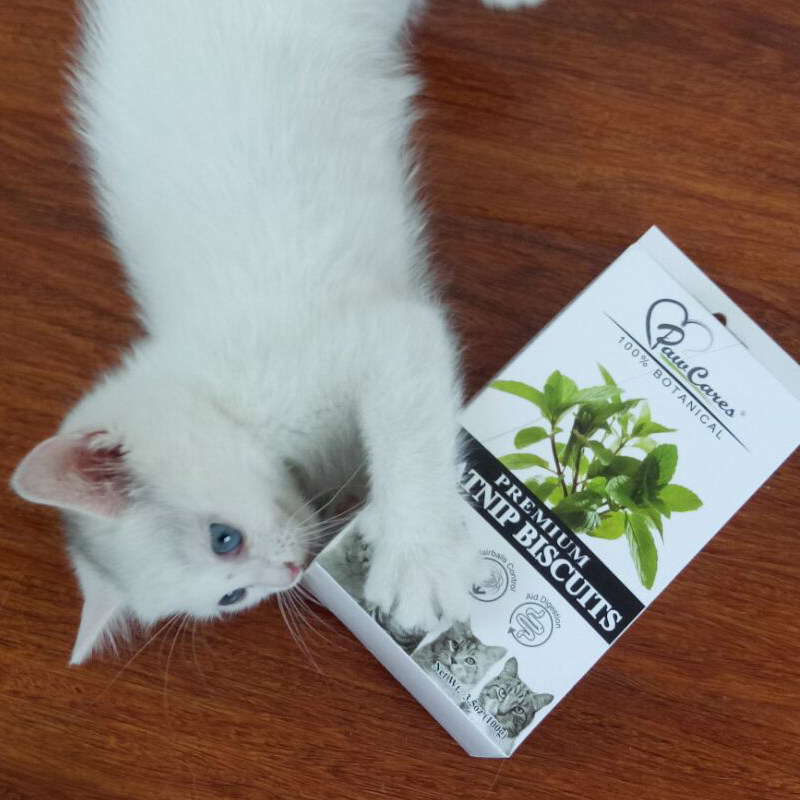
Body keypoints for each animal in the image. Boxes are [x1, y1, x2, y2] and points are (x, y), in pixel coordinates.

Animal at [10, 0, 544, 664]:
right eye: (230, 597)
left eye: (224, 538)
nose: (288, 573)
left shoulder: (387, 333)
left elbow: (409, 437)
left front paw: (419, 557)